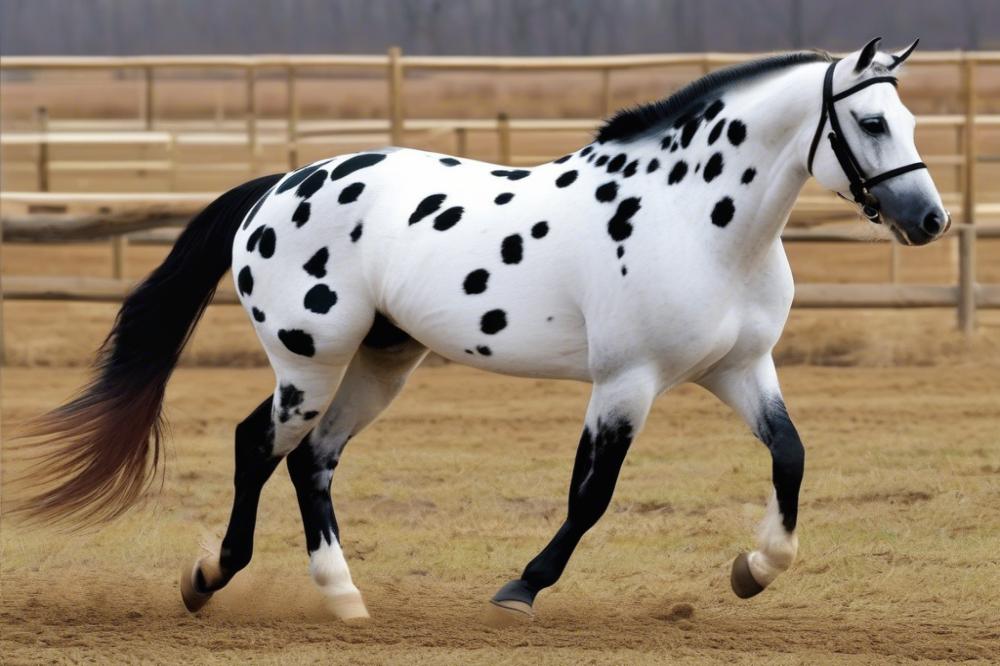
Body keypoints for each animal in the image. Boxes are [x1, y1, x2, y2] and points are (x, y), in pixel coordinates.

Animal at [15, 40, 944, 624]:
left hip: (382, 363)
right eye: (870, 124)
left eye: (909, 121)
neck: (700, 221)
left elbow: (790, 456)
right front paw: (520, 591)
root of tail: (278, 186)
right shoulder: (627, 381)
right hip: (308, 361)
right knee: (259, 446)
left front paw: (753, 572)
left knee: (312, 461)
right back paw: (210, 580)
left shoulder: (742, 368)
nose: (928, 220)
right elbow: (590, 496)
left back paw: (344, 598)